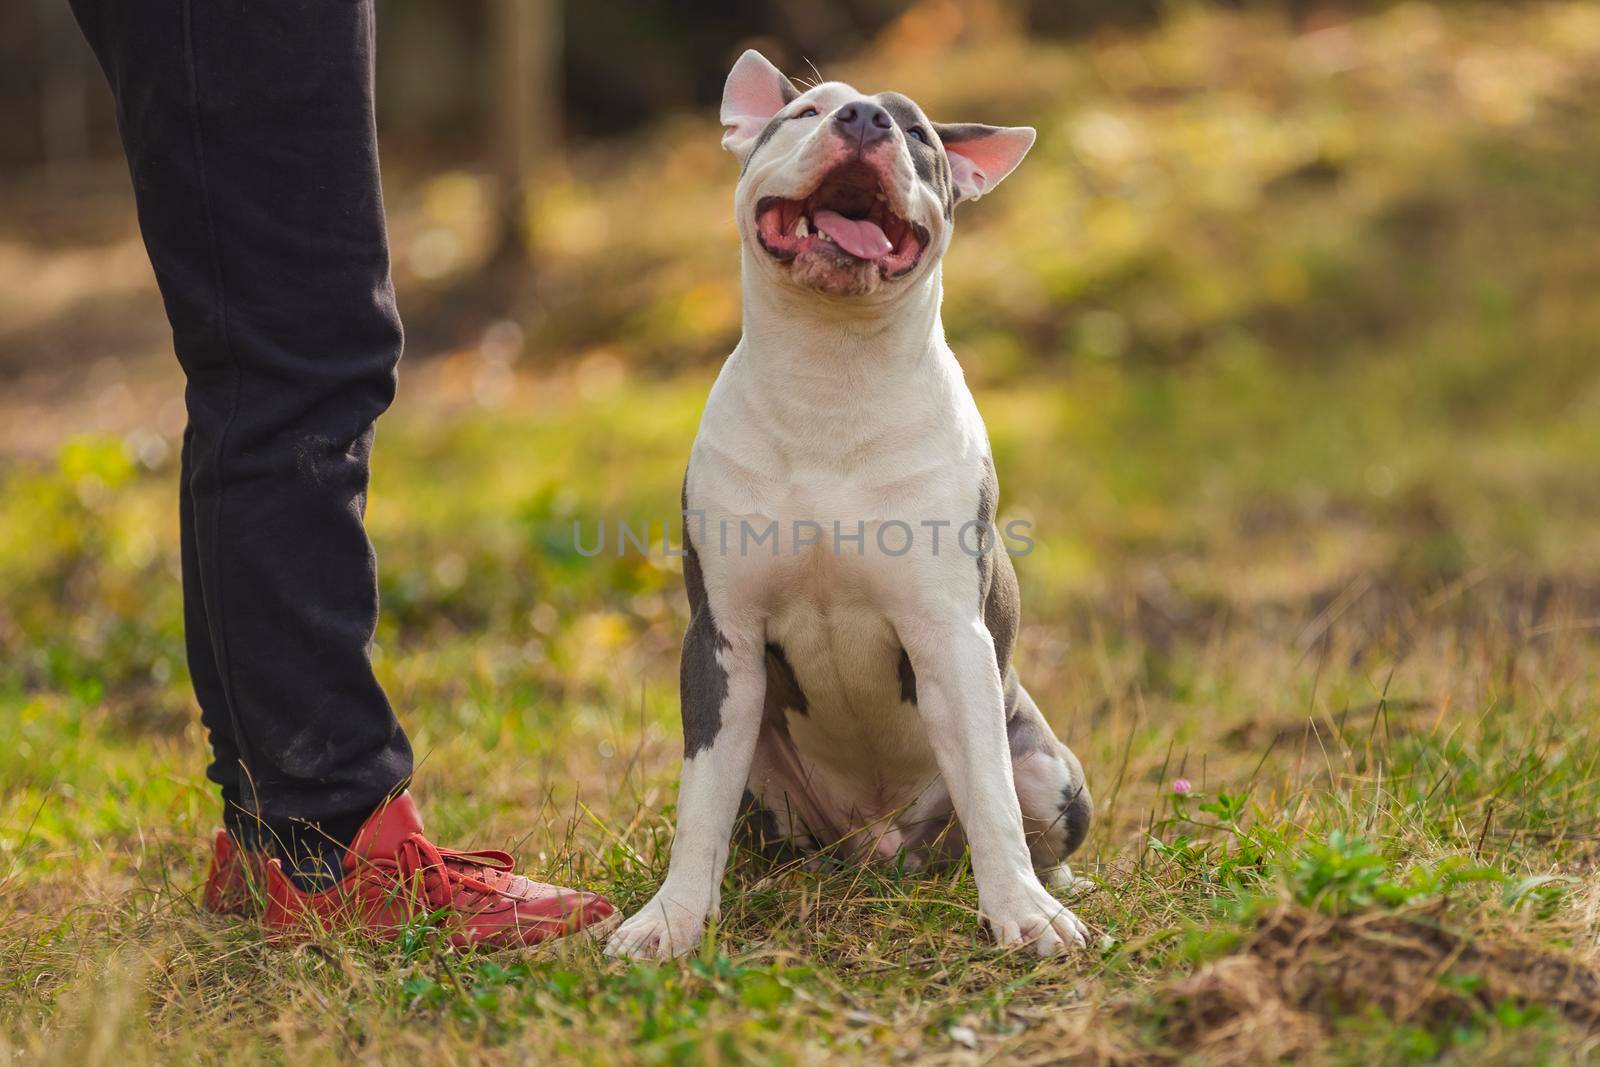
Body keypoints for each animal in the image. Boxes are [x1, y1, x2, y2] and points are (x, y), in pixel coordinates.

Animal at [604, 51, 1094, 959]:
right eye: (804, 112)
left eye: (918, 132)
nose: (865, 119)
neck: (829, 379)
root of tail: (882, 844)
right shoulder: (722, 637)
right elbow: (698, 807)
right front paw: (671, 919)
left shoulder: (950, 635)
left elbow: (991, 796)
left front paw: (1023, 913)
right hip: (767, 777)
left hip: (1045, 763)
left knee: (1026, 814)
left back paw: (1055, 883)